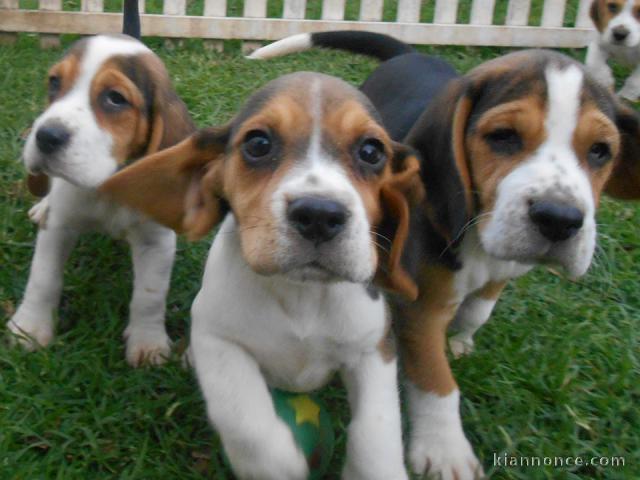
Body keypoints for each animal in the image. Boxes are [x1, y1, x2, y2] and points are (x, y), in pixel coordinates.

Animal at [7, 0, 194, 368]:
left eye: (115, 98)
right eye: (54, 82)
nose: (45, 136)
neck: (108, 185)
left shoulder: (157, 242)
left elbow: (150, 296)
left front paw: (148, 343)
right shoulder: (59, 227)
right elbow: (43, 278)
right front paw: (29, 329)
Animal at [99, 71, 420, 480]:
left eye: (371, 151)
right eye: (258, 143)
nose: (319, 215)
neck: (301, 294)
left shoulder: (374, 347)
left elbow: (376, 432)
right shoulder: (218, 339)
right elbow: (246, 422)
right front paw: (281, 463)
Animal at [251, 32, 640, 480]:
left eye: (600, 151)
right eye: (503, 136)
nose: (559, 219)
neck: (478, 233)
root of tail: (409, 52)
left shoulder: (503, 268)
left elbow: (478, 310)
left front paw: (462, 339)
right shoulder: (421, 307)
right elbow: (435, 379)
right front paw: (445, 449)